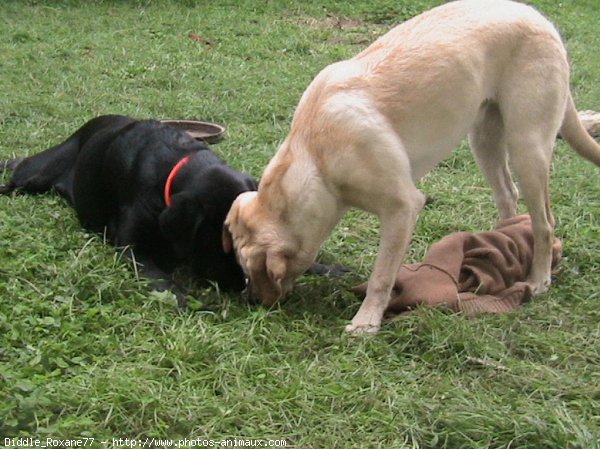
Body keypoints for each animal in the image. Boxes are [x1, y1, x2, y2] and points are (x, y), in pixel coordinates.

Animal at [0, 114, 255, 300]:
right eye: (222, 241)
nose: (242, 287)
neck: (173, 167)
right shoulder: (132, 247)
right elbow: (164, 283)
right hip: (35, 174)